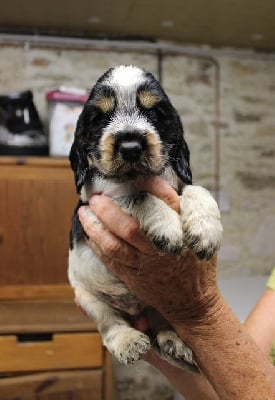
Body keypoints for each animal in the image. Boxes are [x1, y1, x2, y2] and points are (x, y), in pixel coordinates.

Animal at [68, 64, 223, 370]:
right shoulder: (96, 205)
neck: (134, 175)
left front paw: (205, 230)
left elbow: (196, 189)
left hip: (161, 302)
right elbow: (138, 195)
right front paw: (168, 227)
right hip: (87, 296)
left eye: (154, 113)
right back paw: (128, 341)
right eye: (100, 117)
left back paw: (174, 341)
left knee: (160, 319)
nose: (130, 147)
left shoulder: (178, 185)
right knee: (111, 324)